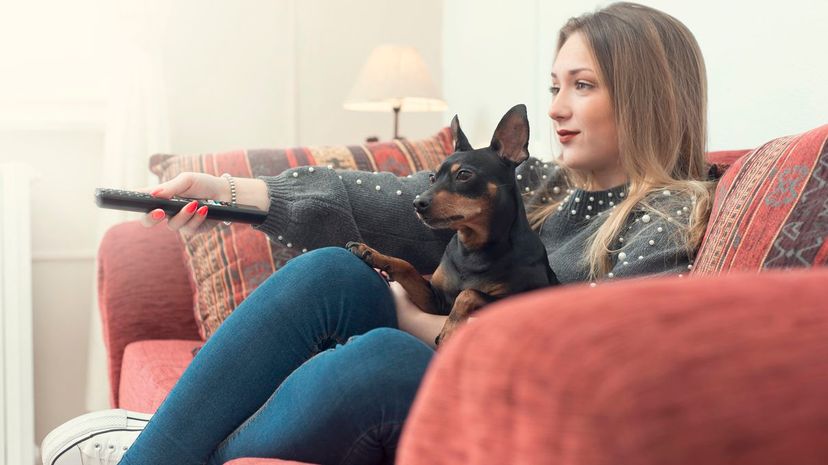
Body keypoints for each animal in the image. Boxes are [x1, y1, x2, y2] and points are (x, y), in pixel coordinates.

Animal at [346, 105, 560, 344]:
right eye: (432, 178)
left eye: (464, 175)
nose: (417, 203)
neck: (472, 248)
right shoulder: (434, 301)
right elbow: (406, 265)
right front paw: (372, 253)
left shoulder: (514, 301)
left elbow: (468, 293)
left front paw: (450, 331)